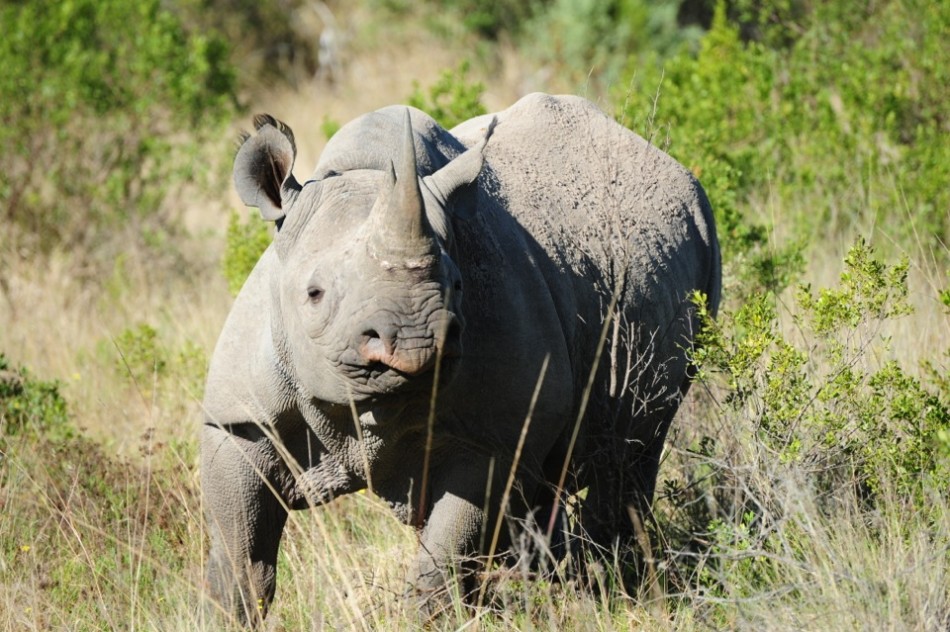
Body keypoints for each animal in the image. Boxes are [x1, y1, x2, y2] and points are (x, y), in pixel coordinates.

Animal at [201, 93, 721, 624]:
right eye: (314, 293)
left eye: (456, 285)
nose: (414, 339)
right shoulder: (241, 418)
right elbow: (242, 556)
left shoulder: (492, 438)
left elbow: (445, 558)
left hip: (701, 254)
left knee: (630, 457)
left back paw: (614, 591)